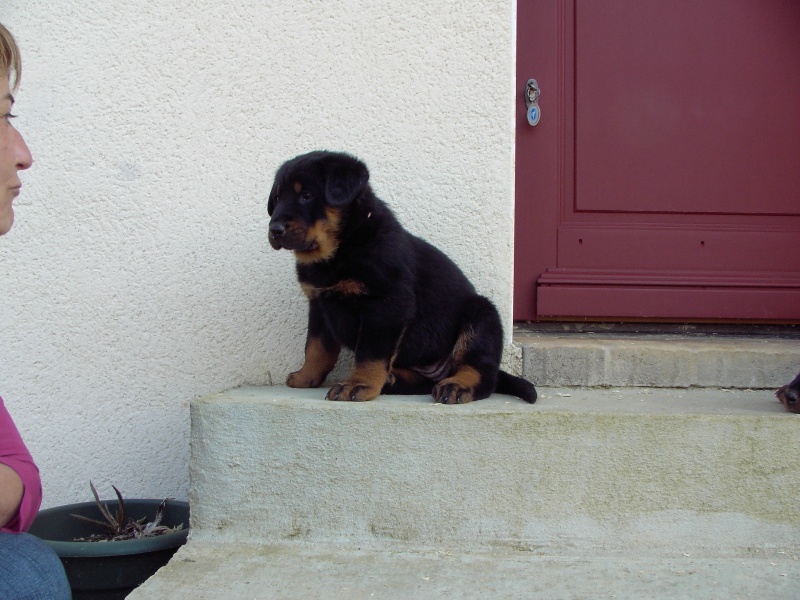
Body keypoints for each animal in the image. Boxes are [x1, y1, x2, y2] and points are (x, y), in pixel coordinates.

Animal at [268, 150, 536, 406]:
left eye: (307, 195)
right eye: (278, 198)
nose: (274, 230)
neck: (342, 247)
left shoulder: (386, 304)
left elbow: (370, 353)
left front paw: (358, 385)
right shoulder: (320, 305)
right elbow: (315, 347)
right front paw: (305, 376)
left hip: (481, 314)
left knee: (481, 371)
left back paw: (457, 386)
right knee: (424, 382)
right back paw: (393, 379)